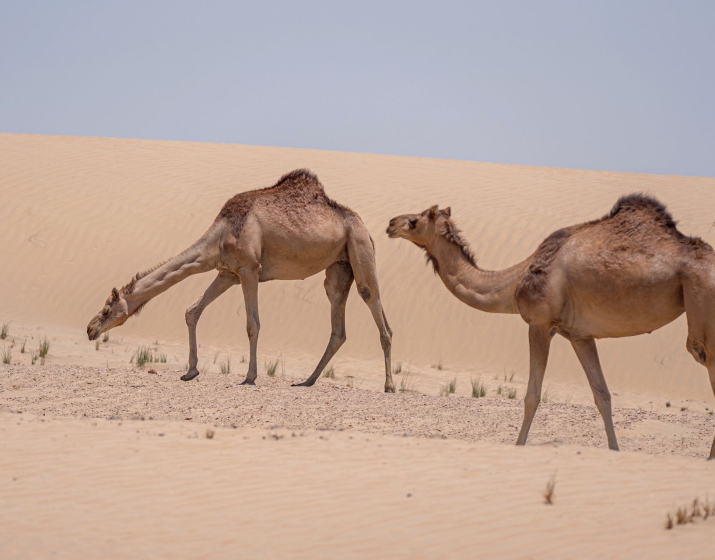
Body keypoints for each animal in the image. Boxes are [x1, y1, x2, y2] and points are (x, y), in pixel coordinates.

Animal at [87, 169, 394, 392]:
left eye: (107, 309)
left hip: (359, 246)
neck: (221, 235)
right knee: (337, 321)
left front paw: (249, 377)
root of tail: (364, 226)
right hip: (339, 266)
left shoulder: (249, 269)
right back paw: (307, 381)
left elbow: (252, 324)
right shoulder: (227, 273)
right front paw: (190, 372)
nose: (90, 329)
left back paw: (389, 386)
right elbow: (192, 310)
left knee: (374, 305)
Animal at [387, 194, 715, 458]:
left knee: (701, 353)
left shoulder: (539, 323)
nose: (391, 223)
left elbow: (532, 395)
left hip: (702, 309)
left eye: (414, 221)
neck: (514, 281)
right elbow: (602, 394)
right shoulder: (580, 335)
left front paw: (518, 446)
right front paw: (614, 451)